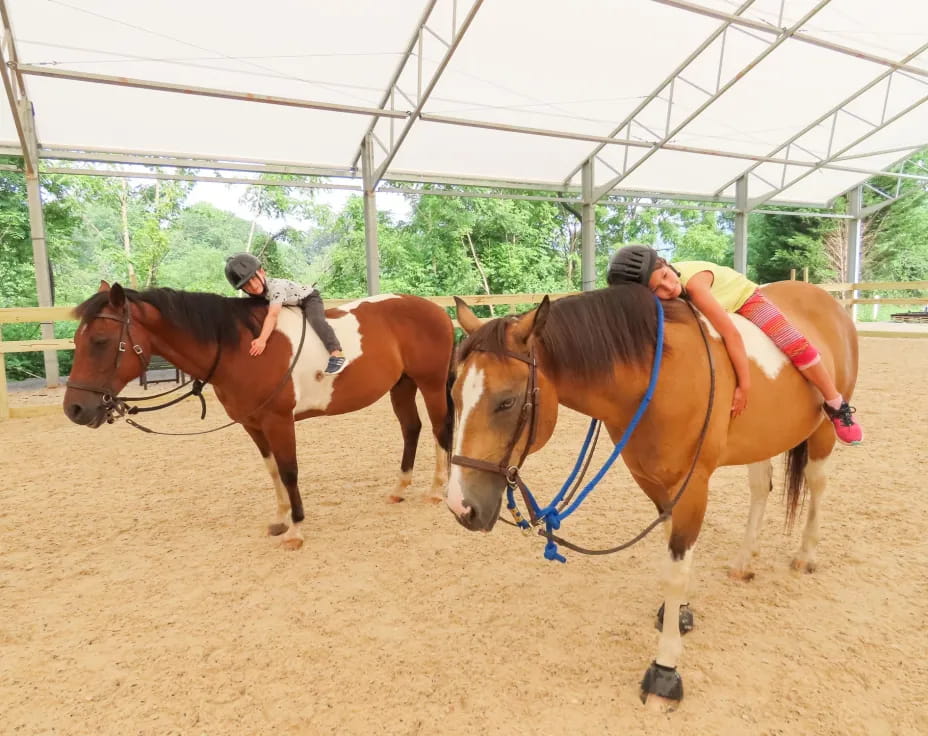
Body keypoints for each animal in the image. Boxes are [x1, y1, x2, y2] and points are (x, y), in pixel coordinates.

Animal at [63, 282, 454, 548]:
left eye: (100, 341)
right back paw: (400, 488)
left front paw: (295, 529)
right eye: (78, 341)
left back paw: (437, 490)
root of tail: (437, 311)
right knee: (411, 428)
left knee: (440, 430)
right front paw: (280, 520)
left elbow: (290, 471)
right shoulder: (253, 425)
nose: (75, 408)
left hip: (431, 384)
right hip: (402, 385)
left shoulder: (278, 422)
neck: (238, 348)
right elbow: (273, 471)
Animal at [446, 280, 860, 708]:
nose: (461, 506)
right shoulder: (654, 483)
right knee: (761, 486)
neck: (654, 378)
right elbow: (670, 552)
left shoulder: (692, 487)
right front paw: (678, 613)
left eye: (507, 402)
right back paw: (744, 559)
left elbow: (676, 571)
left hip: (822, 431)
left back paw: (807, 554)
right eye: (454, 396)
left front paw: (665, 668)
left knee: (817, 482)